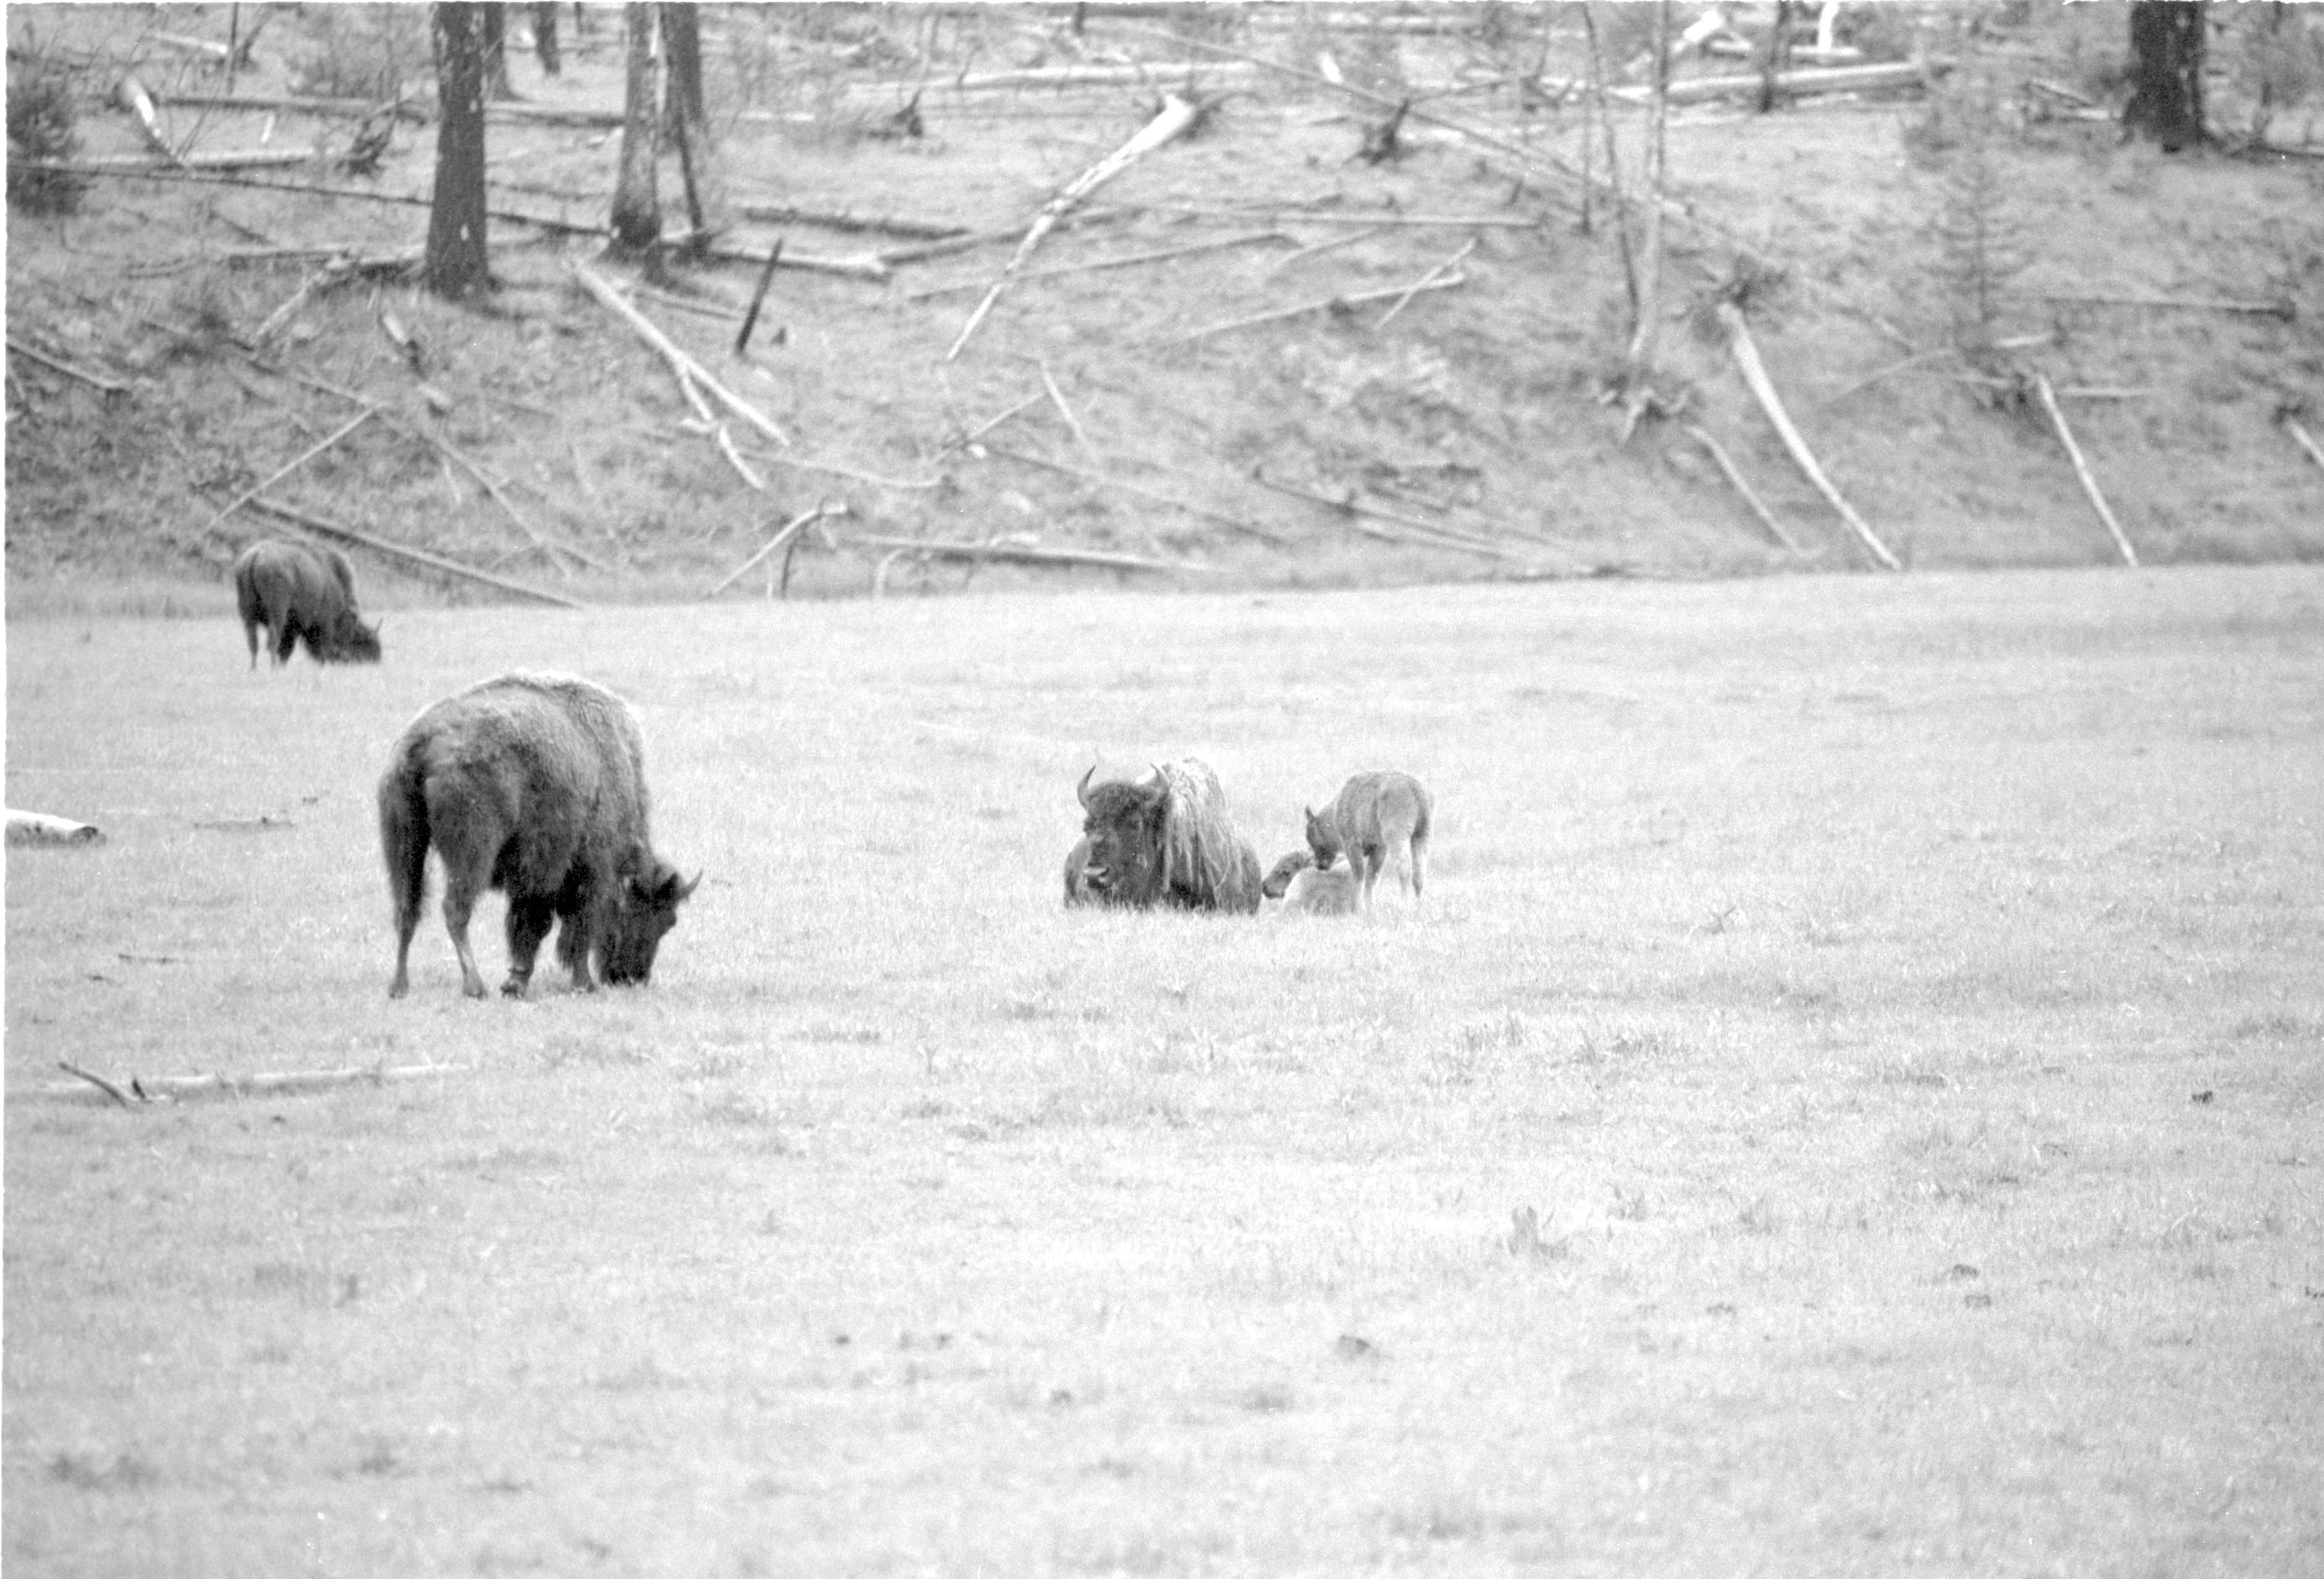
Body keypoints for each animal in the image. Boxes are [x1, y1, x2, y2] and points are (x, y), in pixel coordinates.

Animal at [232, 539, 381, 668]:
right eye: (363, 642)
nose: (375, 660)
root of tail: (256, 555)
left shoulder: (291, 629)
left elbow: (286, 650)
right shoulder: (325, 624)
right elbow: (321, 648)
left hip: (248, 613)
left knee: (253, 642)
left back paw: (254, 670)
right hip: (277, 614)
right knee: (272, 641)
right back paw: (272, 669)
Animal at [379, 672, 699, 999]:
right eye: (661, 918)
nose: (632, 978)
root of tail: (421, 739)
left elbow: (531, 924)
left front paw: (515, 984)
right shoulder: (584, 873)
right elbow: (568, 928)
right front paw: (581, 984)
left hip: (405, 844)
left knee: (407, 910)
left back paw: (399, 986)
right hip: (472, 853)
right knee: (455, 910)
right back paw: (475, 986)